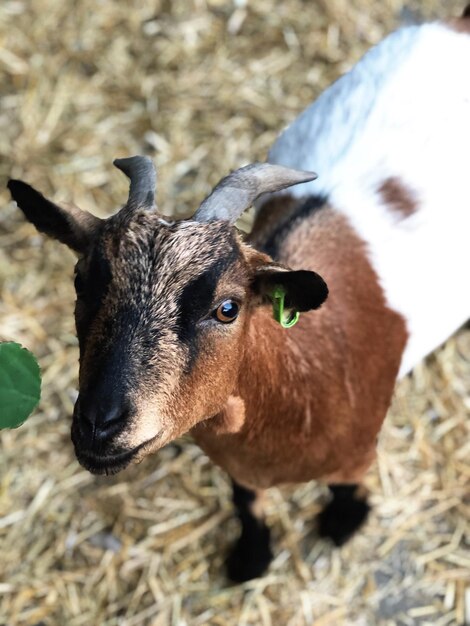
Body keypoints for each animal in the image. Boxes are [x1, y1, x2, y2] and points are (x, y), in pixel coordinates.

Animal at [7, 9, 470, 580]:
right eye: (81, 281)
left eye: (228, 308)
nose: (99, 424)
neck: (304, 373)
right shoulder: (239, 467)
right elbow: (245, 501)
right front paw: (251, 557)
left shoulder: (358, 452)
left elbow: (347, 486)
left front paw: (344, 523)